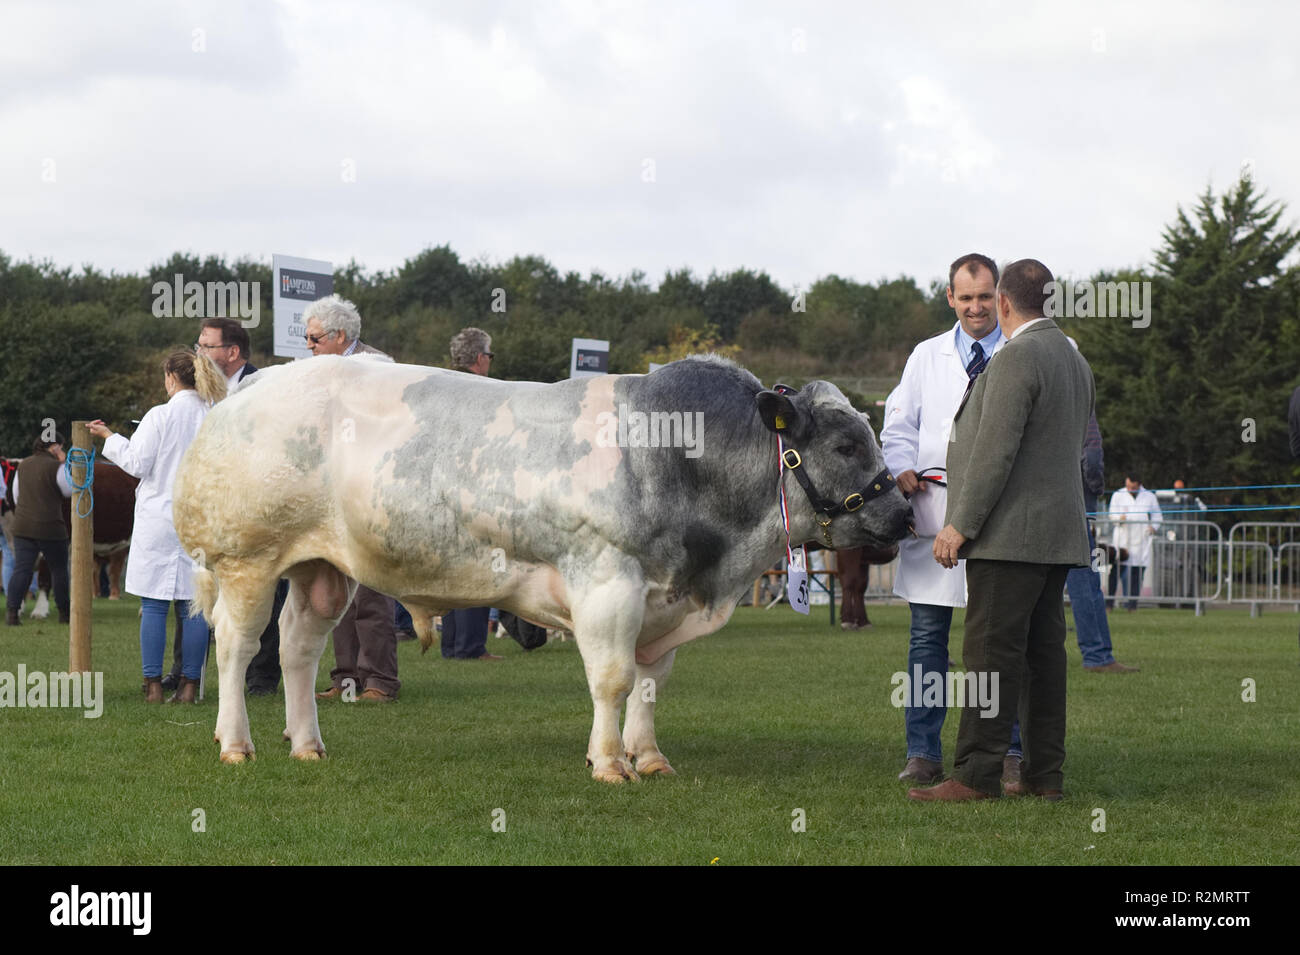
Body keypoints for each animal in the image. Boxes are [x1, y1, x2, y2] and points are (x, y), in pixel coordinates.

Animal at [172, 356, 915, 779]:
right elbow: (614, 680)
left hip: (322, 567)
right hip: (247, 559)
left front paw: (649, 756)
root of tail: (247, 386)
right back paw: (236, 743)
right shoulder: (608, 581)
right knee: (237, 646)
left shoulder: (662, 599)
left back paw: (306, 744)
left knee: (297, 646)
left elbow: (650, 684)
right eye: (847, 444)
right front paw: (609, 763)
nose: (905, 512)